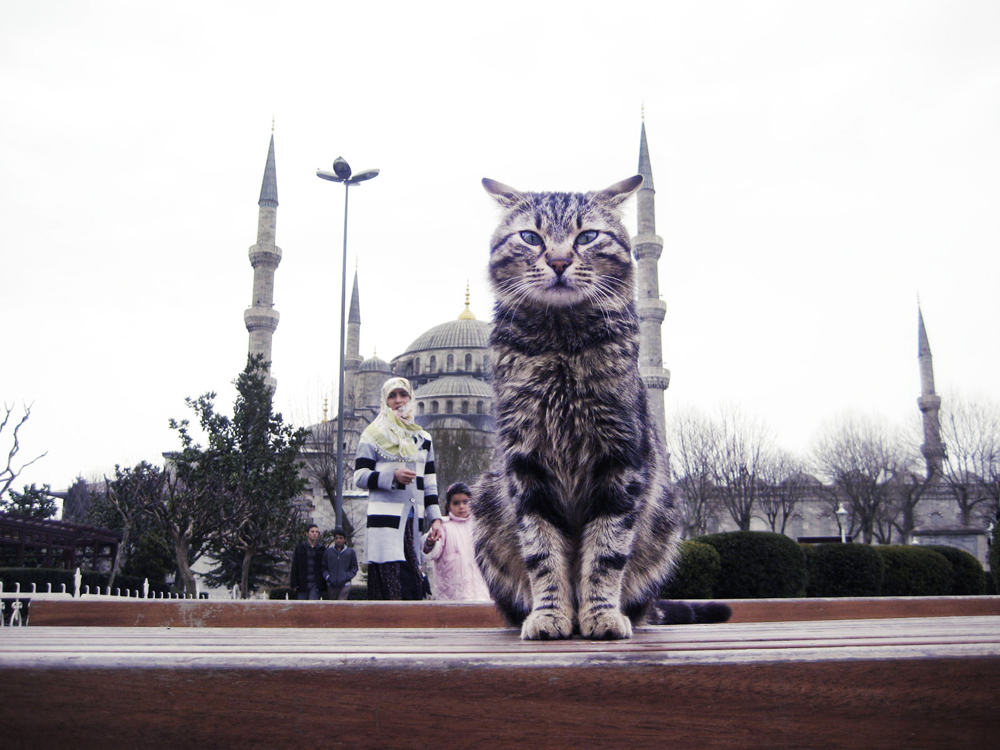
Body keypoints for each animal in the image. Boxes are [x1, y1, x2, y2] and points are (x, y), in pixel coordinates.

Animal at [472, 175, 732, 640]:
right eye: (530, 237)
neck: (560, 343)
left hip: (665, 515)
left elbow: (606, 551)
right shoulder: (524, 462)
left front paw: (602, 614)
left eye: (588, 237)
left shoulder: (622, 458)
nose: (559, 261)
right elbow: (542, 550)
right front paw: (550, 614)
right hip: (485, 497)